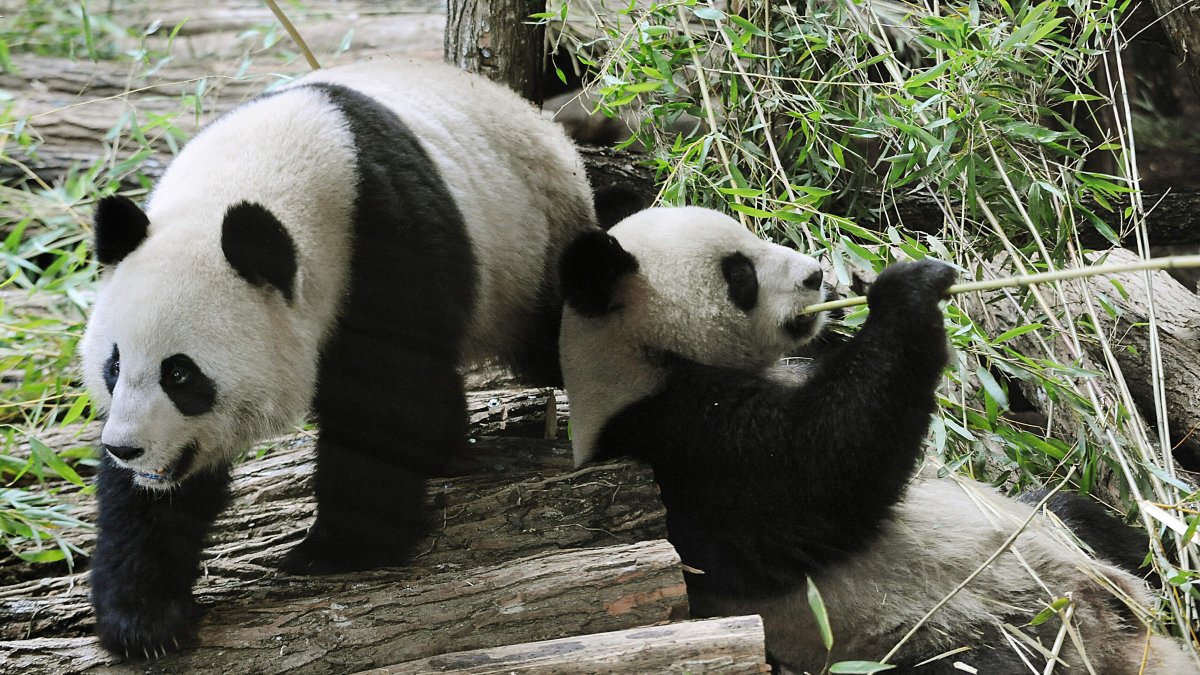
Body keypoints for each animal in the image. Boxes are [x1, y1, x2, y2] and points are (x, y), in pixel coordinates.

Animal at [80, 58, 596, 656]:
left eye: (181, 374)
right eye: (114, 366)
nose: (126, 448)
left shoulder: (383, 238)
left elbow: (385, 398)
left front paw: (339, 549)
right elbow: (150, 499)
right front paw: (143, 619)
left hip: (533, 246)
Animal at [557, 207, 1198, 674]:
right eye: (739, 273)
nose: (817, 276)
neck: (639, 360)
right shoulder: (675, 448)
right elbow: (815, 471)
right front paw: (906, 290)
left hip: (1056, 538)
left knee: (1082, 517)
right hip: (958, 633)